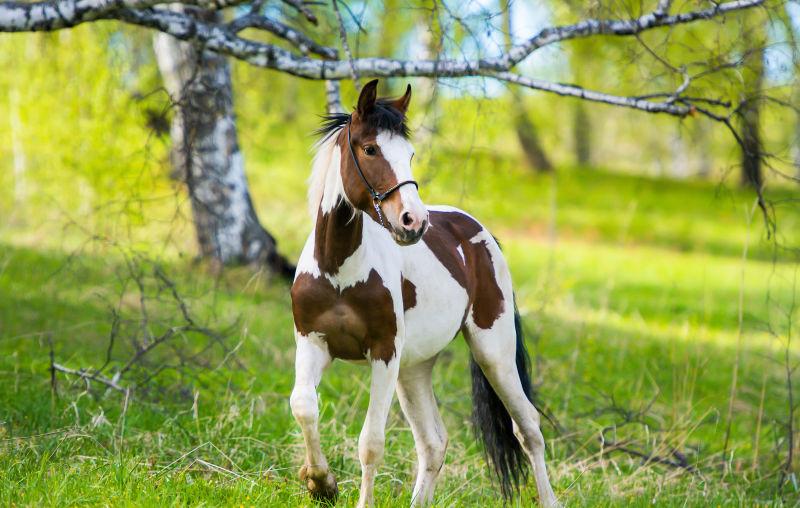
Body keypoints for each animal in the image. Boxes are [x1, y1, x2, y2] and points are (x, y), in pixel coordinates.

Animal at [290, 80, 560, 508]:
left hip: (493, 353)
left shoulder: (383, 353)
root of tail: (480, 233)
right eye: (370, 149)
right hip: (414, 369)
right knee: (434, 443)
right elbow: (304, 407)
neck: (338, 272)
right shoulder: (312, 343)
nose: (413, 222)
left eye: (411, 154)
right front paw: (321, 483)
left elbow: (371, 443)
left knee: (528, 428)